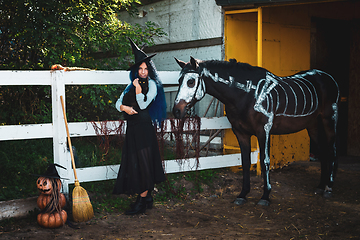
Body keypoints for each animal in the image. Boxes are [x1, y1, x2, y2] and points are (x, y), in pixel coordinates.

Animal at [173, 56, 338, 206]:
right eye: (179, 81)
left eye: (190, 81)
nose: (176, 111)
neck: (247, 94)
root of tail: (328, 77)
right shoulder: (241, 133)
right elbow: (245, 162)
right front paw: (242, 195)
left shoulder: (263, 131)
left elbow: (265, 161)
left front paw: (265, 196)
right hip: (313, 125)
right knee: (323, 152)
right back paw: (320, 186)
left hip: (329, 120)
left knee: (332, 151)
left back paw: (329, 188)